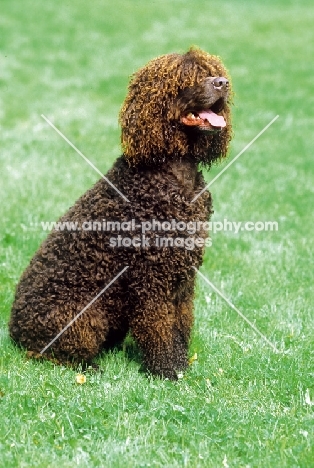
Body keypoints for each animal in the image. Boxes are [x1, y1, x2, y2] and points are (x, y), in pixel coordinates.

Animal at [9, 45, 233, 378]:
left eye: (211, 71)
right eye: (186, 78)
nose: (223, 83)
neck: (173, 174)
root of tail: (13, 332)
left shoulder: (183, 273)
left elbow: (180, 323)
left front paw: (182, 364)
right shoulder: (152, 276)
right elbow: (160, 326)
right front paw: (167, 371)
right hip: (83, 319)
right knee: (51, 355)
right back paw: (90, 367)